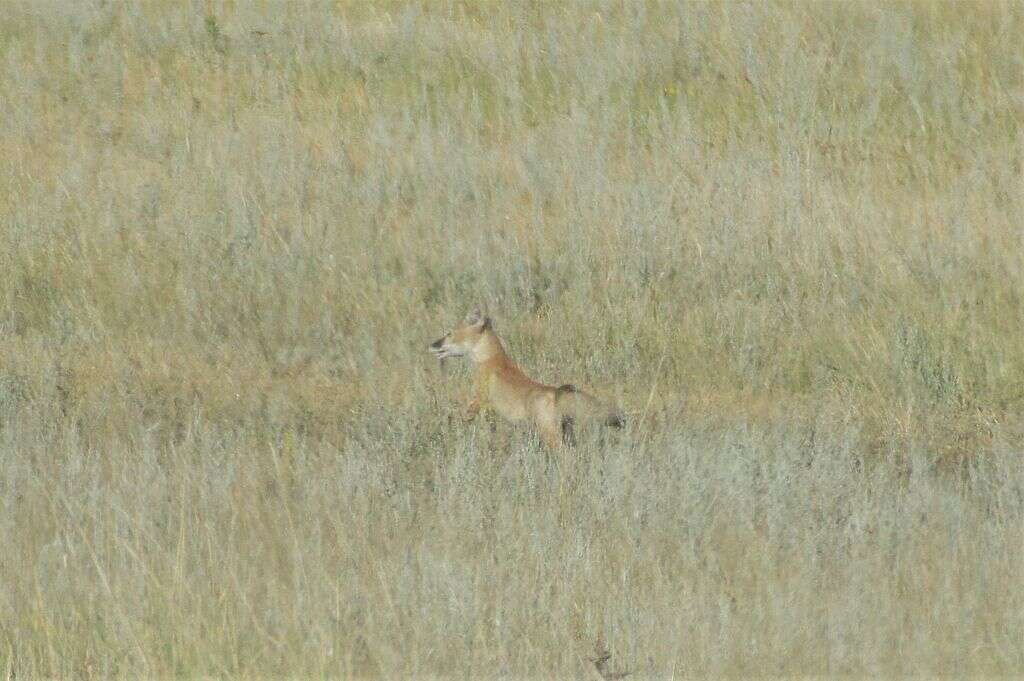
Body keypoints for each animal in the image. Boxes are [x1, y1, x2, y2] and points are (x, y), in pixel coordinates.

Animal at [425, 309, 622, 446]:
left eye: (449, 333)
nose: (431, 345)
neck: (490, 358)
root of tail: (555, 392)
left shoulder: (477, 402)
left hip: (551, 438)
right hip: (565, 435)